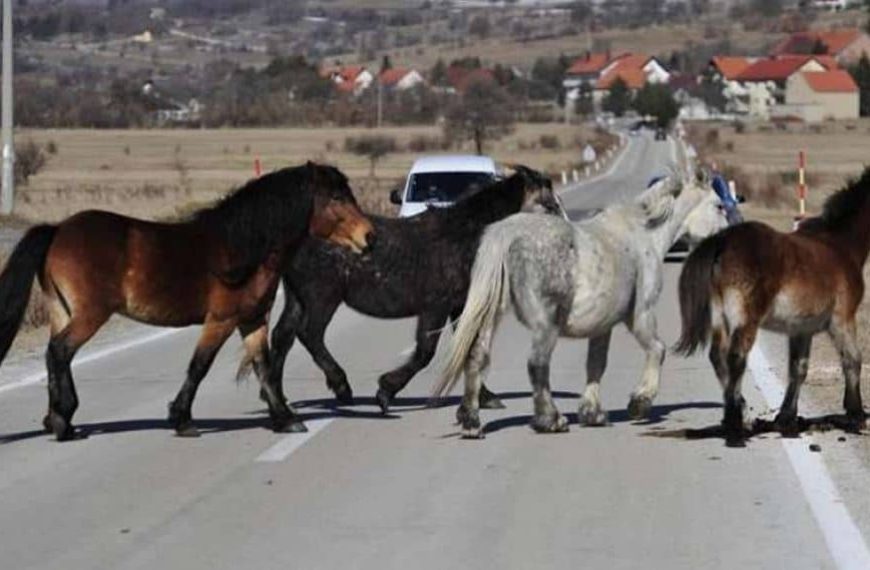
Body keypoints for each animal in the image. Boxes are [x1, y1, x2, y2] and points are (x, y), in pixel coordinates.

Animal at [0, 160, 372, 440]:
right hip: (90, 314)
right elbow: (200, 366)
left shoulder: (252, 320)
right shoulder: (221, 320)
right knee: (60, 351)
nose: (368, 237)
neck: (243, 248)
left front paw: (284, 418)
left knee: (55, 354)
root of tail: (58, 230)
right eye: (336, 197)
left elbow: (263, 367)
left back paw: (58, 419)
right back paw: (63, 423)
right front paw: (181, 419)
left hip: (62, 311)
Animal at [434, 171, 728, 438]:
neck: (643, 235)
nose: (726, 242)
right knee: (537, 364)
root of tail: (506, 233)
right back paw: (551, 420)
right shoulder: (640, 314)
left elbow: (596, 363)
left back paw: (471, 422)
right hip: (546, 325)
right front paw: (639, 403)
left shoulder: (603, 326)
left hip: (491, 316)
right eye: (719, 206)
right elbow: (657, 350)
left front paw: (592, 413)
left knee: (476, 357)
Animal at [676, 166, 870, 446]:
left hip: (719, 316)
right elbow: (853, 359)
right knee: (736, 357)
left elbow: (798, 369)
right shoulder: (841, 319)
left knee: (717, 357)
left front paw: (786, 418)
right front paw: (855, 415)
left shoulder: (801, 329)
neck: (840, 245)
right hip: (745, 319)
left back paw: (739, 414)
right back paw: (736, 427)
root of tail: (722, 242)